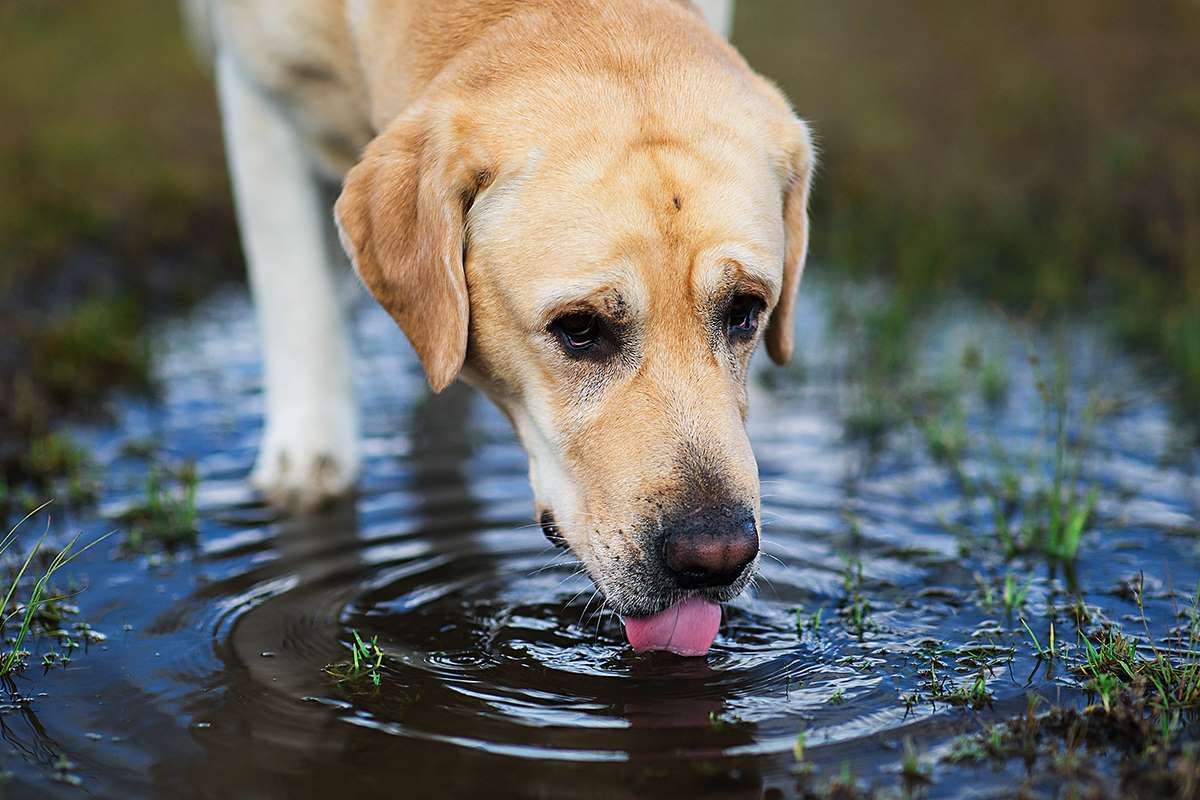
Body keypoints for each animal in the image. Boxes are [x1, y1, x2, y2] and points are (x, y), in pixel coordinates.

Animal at [184, 0, 816, 657]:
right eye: (580, 328)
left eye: (745, 311)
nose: (717, 557)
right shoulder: (258, 96)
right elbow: (296, 291)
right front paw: (308, 460)